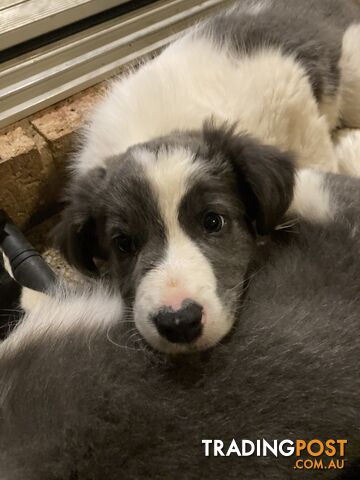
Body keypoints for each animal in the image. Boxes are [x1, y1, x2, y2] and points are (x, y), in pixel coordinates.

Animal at [54, 0, 360, 352]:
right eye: (122, 244)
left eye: (213, 221)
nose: (178, 322)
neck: (160, 128)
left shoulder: (292, 99)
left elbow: (318, 160)